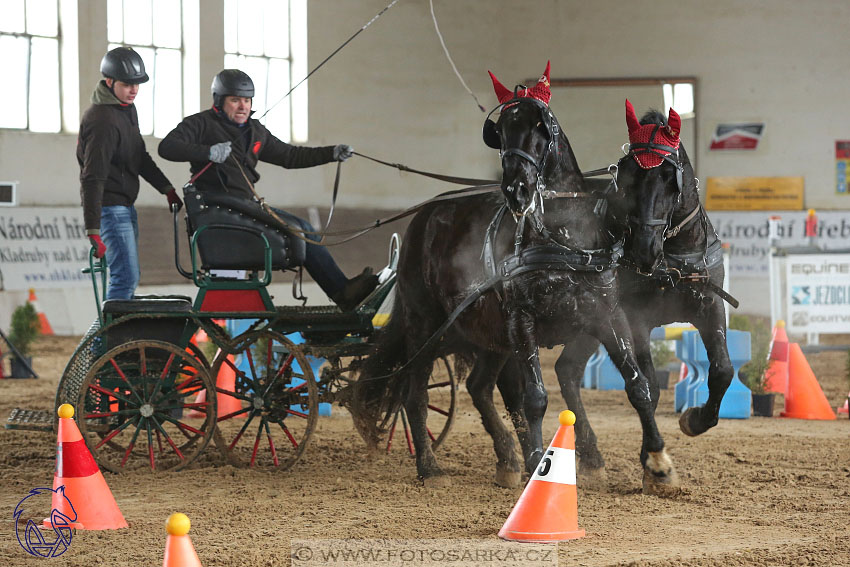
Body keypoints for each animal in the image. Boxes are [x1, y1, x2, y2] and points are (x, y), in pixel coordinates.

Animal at [354, 65, 672, 492]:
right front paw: (539, 464)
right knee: (413, 389)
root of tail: (423, 218)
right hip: (427, 325)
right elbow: (534, 398)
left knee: (477, 386)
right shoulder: (523, 322)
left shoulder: (605, 314)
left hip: (486, 332)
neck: (562, 236)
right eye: (501, 130)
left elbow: (638, 386)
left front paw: (658, 463)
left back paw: (506, 458)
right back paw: (430, 465)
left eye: (541, 126)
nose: (516, 190)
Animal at [552, 100, 732, 490]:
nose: (644, 250)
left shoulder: (710, 307)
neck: (673, 256)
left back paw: (591, 456)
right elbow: (646, 385)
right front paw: (655, 461)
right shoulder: (635, 320)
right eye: (628, 175)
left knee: (567, 368)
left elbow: (722, 370)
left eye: (669, 176)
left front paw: (694, 420)